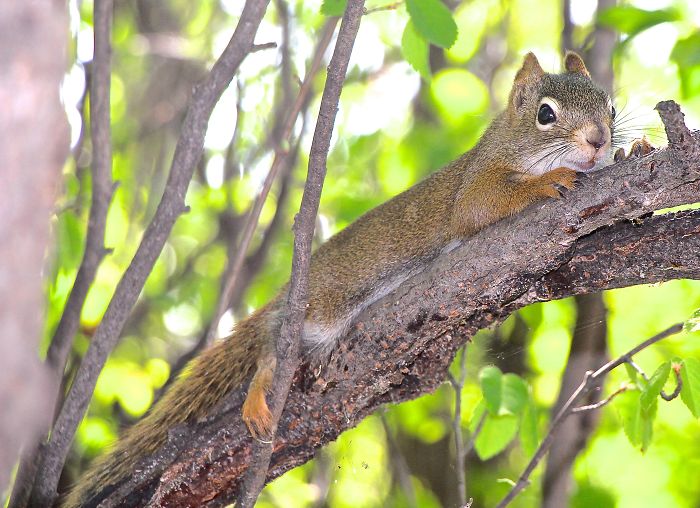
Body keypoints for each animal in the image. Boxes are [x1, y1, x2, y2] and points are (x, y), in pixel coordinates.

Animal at [65, 51, 637, 506]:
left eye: (610, 107)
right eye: (545, 114)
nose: (598, 140)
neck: (507, 144)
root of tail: (290, 292)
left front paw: (633, 153)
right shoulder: (474, 187)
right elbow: (486, 203)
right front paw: (554, 178)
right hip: (321, 309)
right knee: (271, 346)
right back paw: (260, 388)